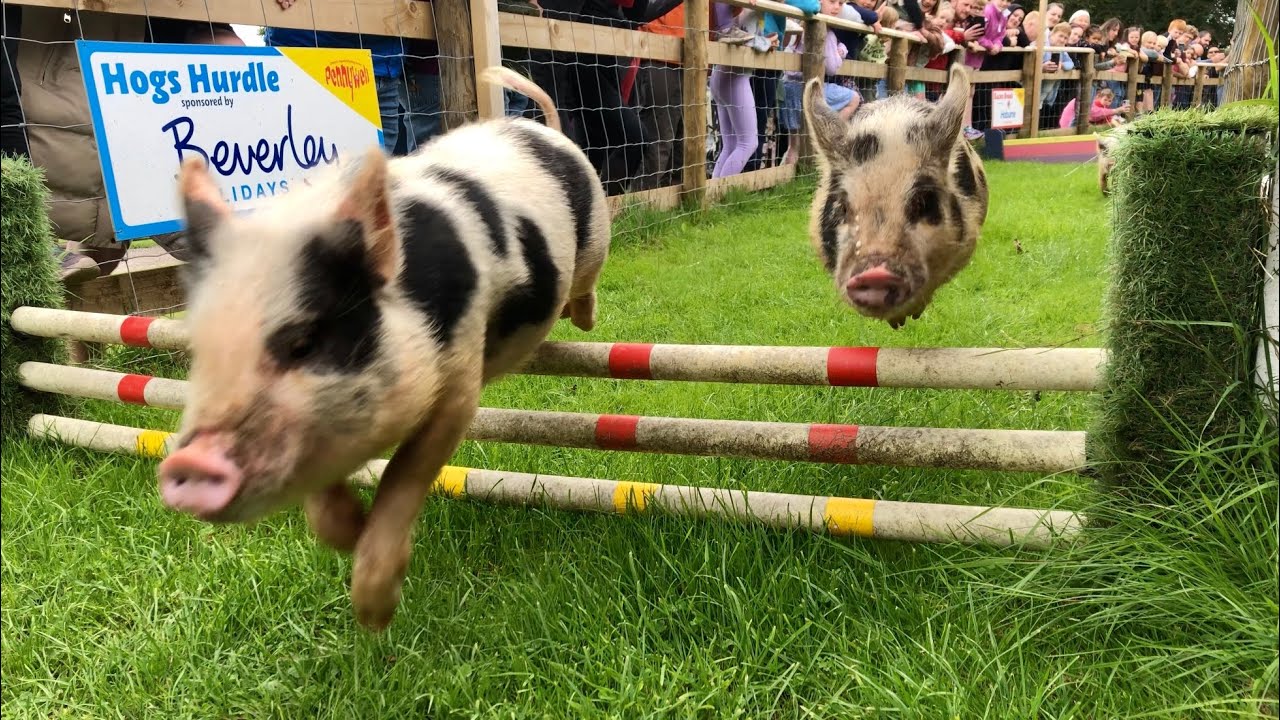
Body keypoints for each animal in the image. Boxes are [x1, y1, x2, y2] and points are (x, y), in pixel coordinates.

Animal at [155, 66, 611, 630]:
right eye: (199, 350)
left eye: (304, 341)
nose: (187, 462)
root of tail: (542, 130)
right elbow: (321, 500)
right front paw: (349, 531)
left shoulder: (458, 382)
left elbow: (403, 476)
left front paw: (375, 616)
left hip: (597, 235)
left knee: (587, 282)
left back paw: (581, 318)